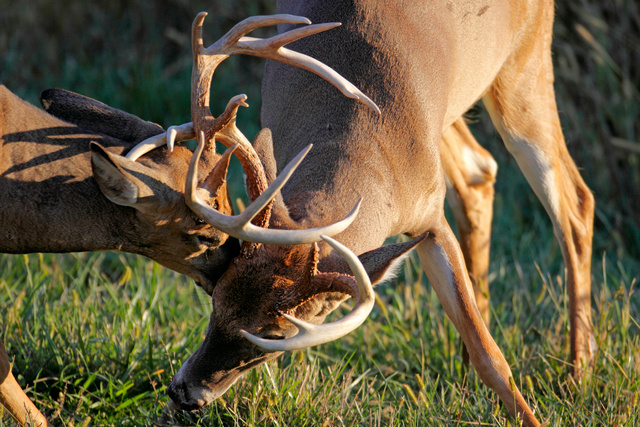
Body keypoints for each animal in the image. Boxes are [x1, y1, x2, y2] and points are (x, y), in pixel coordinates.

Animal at [161, 1, 596, 425]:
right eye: (215, 296)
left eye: (276, 335)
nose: (184, 392)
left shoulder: (430, 217)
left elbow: (490, 354)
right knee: (479, 170)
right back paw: (469, 372)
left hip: (525, 64)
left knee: (574, 200)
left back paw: (578, 373)